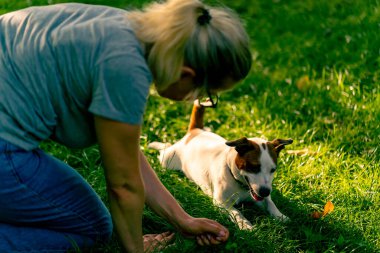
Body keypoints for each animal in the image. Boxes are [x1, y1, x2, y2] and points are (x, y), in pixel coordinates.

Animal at [148, 100, 290, 229]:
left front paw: (280, 216)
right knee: (165, 149)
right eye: (253, 167)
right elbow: (236, 212)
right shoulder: (221, 202)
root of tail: (195, 132)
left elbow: (270, 203)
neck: (238, 181)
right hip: (168, 160)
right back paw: (156, 145)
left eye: (273, 170)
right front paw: (245, 224)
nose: (265, 191)